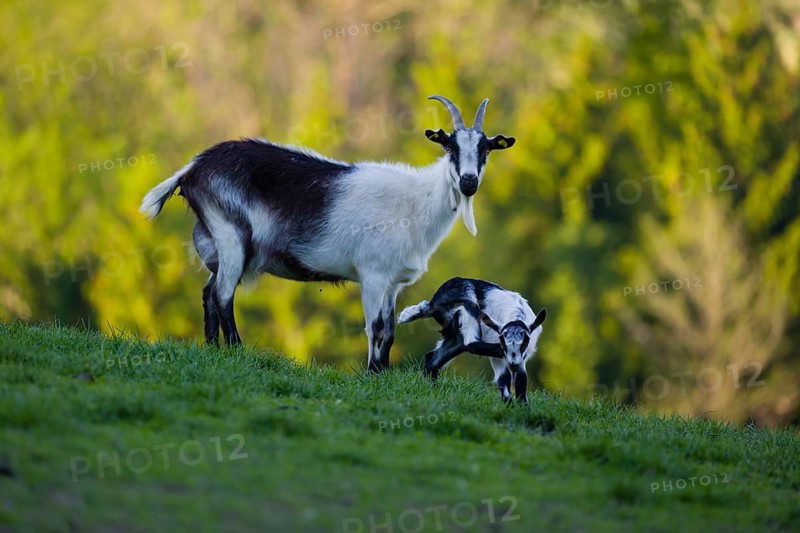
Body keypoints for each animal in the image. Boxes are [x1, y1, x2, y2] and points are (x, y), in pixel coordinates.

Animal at [140, 96, 516, 372]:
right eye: (450, 147)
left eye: (485, 150)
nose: (468, 182)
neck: (417, 202)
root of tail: (192, 169)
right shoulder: (372, 274)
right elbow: (376, 327)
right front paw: (372, 374)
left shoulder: (393, 283)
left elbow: (391, 330)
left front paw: (382, 372)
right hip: (231, 236)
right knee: (222, 295)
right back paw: (235, 350)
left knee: (208, 292)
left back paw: (213, 348)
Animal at [398, 277, 546, 402]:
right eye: (503, 344)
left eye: (524, 344)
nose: (513, 365)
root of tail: (432, 303)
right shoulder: (499, 357)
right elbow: (504, 379)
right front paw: (509, 405)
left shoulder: (522, 358)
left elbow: (521, 383)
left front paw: (522, 408)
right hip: (466, 302)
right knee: (470, 342)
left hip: (456, 337)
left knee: (432, 359)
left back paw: (432, 390)